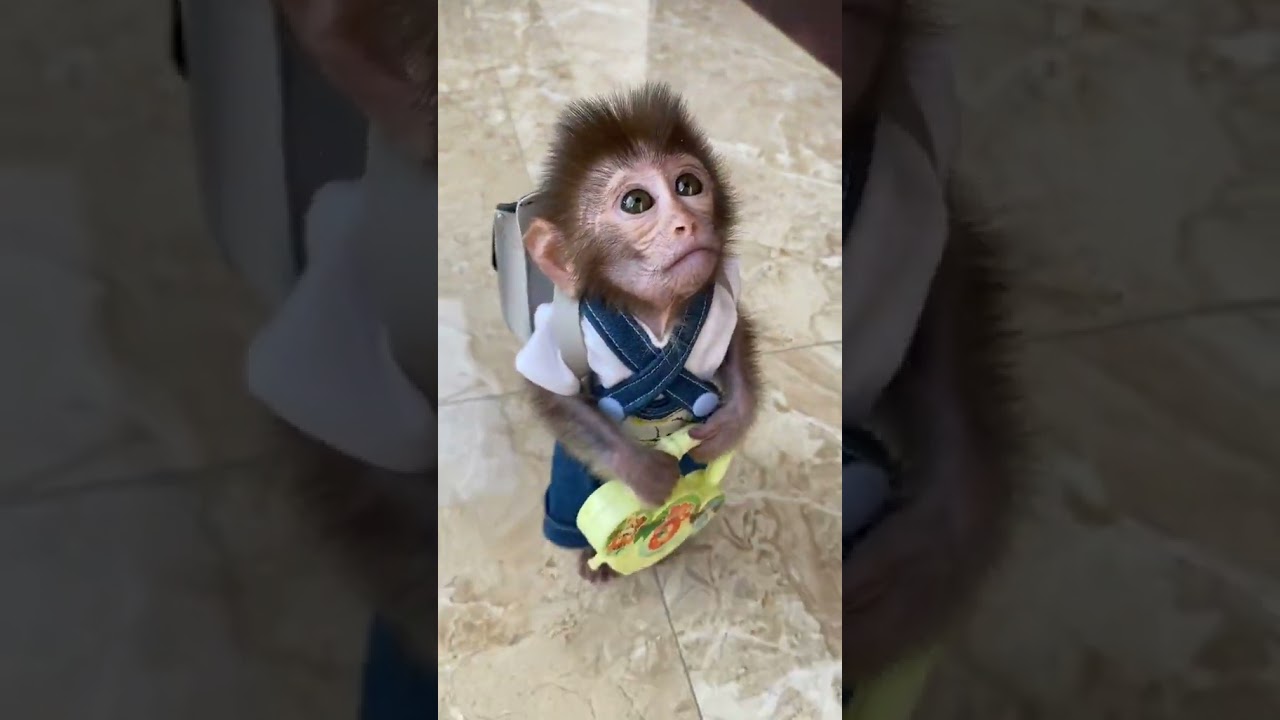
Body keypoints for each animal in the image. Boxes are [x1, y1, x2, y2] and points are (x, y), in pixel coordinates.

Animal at [513, 82, 764, 583]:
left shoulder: (722, 299)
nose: (687, 221)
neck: (657, 315)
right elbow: (555, 396)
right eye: (636, 202)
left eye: (688, 186)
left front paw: (734, 420)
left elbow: (736, 338)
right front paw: (640, 469)